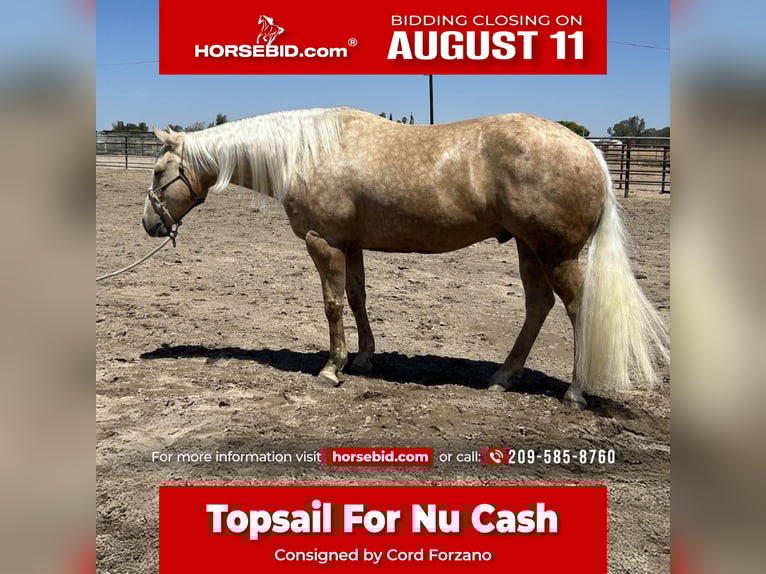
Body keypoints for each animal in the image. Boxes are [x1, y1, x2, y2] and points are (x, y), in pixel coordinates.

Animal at [142, 107, 668, 408]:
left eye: (159, 171)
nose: (149, 224)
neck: (307, 150)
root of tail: (590, 151)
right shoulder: (350, 244)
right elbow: (357, 299)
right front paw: (364, 359)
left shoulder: (322, 242)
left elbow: (332, 304)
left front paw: (331, 369)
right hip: (527, 248)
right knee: (538, 306)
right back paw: (502, 378)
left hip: (555, 253)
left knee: (577, 309)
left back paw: (574, 392)